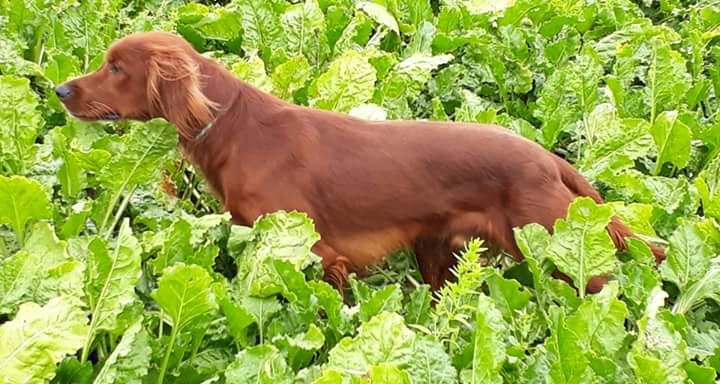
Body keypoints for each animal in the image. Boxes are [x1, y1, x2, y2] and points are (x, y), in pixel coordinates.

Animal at [56, 32, 664, 294]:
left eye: (116, 67)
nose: (60, 90)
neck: (233, 127)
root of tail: (546, 158)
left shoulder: (320, 253)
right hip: (439, 251)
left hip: (560, 256)